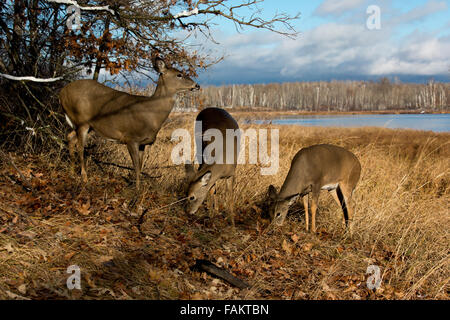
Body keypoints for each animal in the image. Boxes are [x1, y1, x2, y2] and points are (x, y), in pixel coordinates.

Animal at [59, 57, 200, 189]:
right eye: (179, 74)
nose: (197, 85)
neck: (152, 113)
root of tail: (62, 93)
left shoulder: (143, 143)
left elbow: (141, 166)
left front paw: (138, 187)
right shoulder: (131, 138)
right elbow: (136, 167)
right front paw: (137, 190)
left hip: (87, 126)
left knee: (70, 137)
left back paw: (72, 172)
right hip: (82, 120)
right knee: (80, 147)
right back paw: (84, 177)